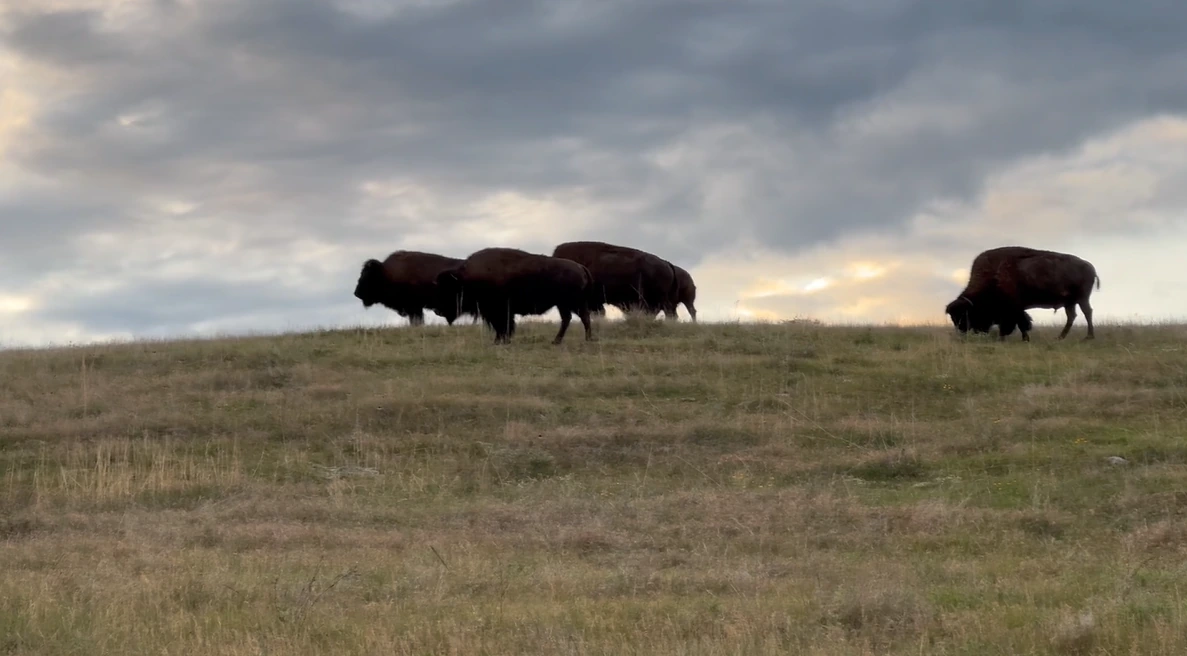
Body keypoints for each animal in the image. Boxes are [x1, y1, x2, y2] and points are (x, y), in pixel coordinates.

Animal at [436, 247, 596, 345]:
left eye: (448, 289)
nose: (437, 311)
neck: (466, 279)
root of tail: (580, 267)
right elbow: (503, 327)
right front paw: (501, 341)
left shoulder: (499, 311)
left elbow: (503, 326)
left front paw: (499, 342)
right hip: (564, 304)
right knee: (569, 319)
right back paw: (557, 341)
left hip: (572, 303)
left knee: (582, 318)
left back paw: (586, 339)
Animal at [945, 246, 1100, 341]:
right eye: (954, 318)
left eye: (965, 315)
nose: (962, 331)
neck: (995, 274)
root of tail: (1090, 267)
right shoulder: (1016, 309)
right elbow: (1021, 323)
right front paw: (1023, 338)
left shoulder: (1013, 309)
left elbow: (1019, 323)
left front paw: (1010, 338)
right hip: (1070, 302)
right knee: (1071, 316)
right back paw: (1060, 337)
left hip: (1082, 298)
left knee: (1087, 312)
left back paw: (1088, 337)